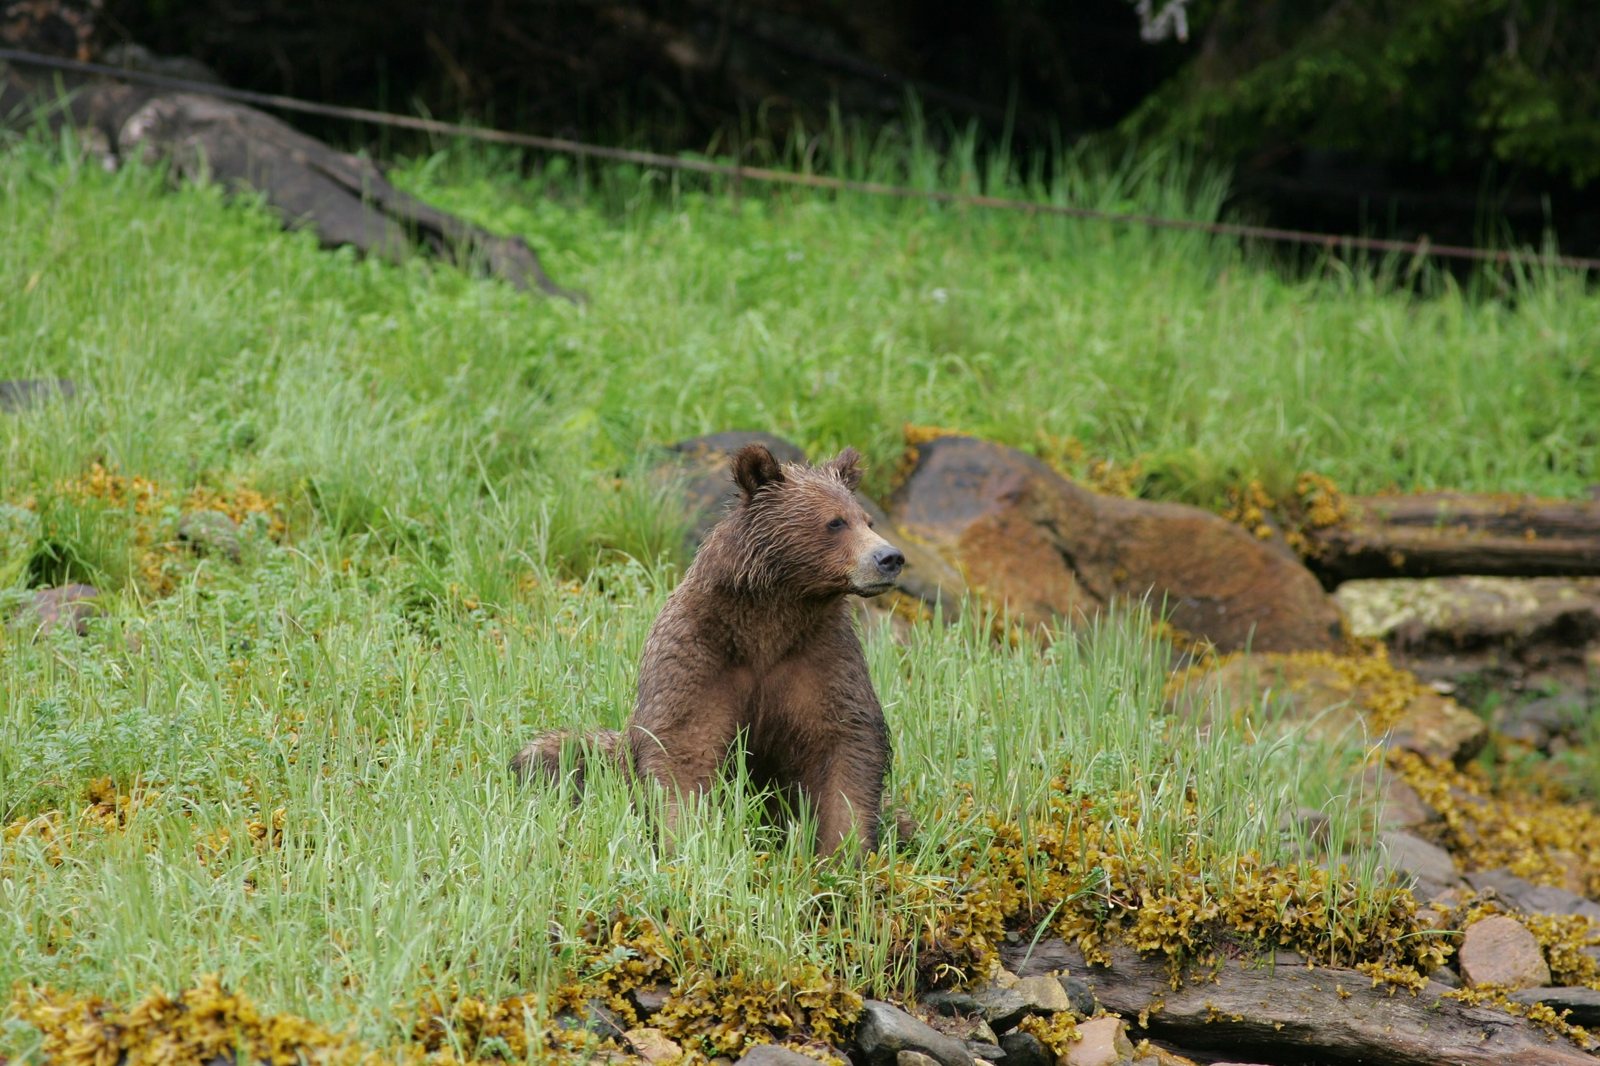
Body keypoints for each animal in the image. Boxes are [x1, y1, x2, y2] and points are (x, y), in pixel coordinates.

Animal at [511, 443, 906, 855]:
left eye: (867, 521)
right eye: (835, 522)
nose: (889, 558)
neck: (772, 619)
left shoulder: (819, 656)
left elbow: (844, 742)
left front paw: (845, 848)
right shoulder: (701, 655)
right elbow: (684, 744)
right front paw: (687, 837)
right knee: (558, 755)